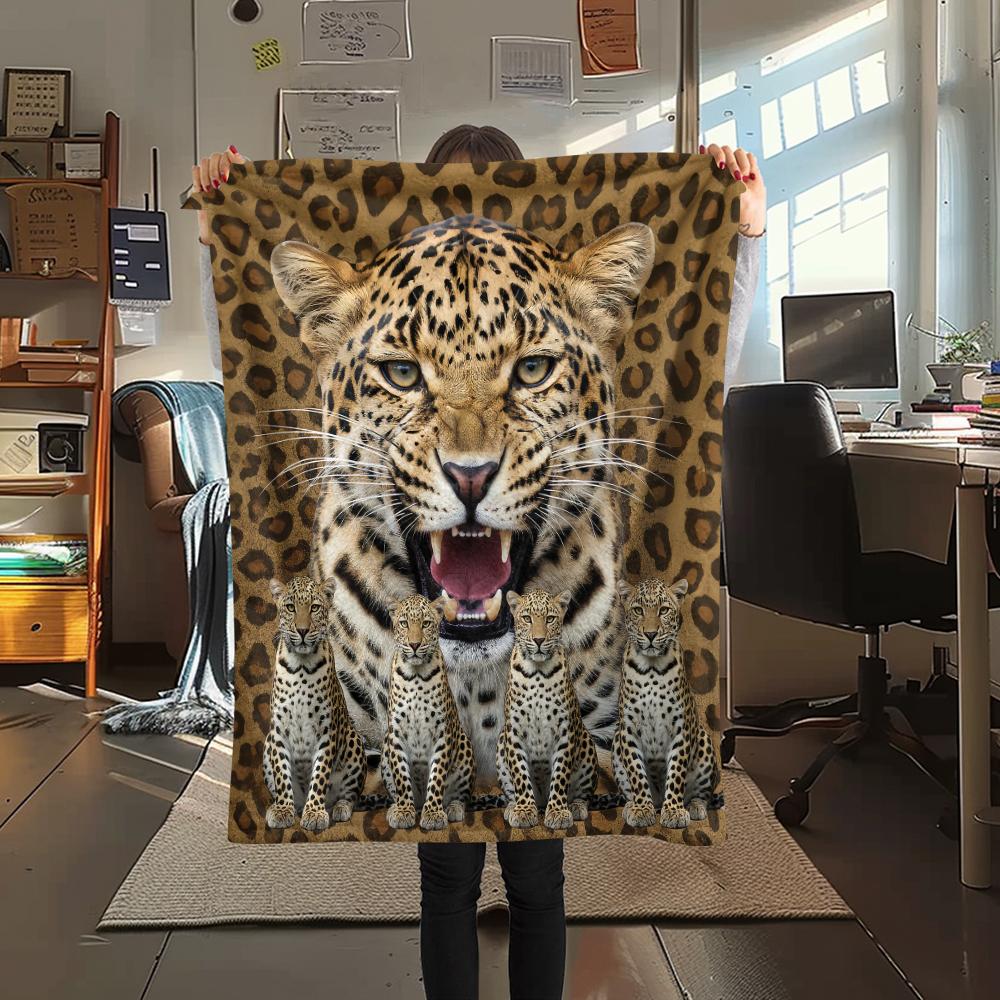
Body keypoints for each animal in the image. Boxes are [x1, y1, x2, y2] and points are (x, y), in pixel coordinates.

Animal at [263, 576, 366, 830]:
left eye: (315, 607)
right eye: (291, 607)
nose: (302, 630)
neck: (301, 666)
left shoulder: (327, 732)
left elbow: (319, 775)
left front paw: (315, 814)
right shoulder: (278, 731)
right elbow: (282, 774)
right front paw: (283, 810)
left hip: (353, 741)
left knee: (350, 796)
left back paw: (338, 808)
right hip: (267, 742)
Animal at [382, 593, 477, 830]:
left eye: (426, 623)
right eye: (404, 623)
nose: (415, 644)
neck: (416, 676)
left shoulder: (442, 734)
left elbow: (436, 778)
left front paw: (433, 814)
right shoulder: (395, 734)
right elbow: (401, 777)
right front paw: (403, 812)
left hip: (464, 746)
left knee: (461, 796)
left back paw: (453, 809)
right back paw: (397, 807)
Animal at [497, 589, 598, 829]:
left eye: (550, 619)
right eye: (527, 618)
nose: (539, 640)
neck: (538, 673)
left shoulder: (565, 731)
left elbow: (560, 775)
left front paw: (558, 812)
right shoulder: (514, 732)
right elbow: (520, 776)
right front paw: (524, 811)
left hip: (587, 743)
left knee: (583, 793)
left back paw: (575, 807)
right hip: (501, 742)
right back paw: (512, 807)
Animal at [613, 577, 723, 829]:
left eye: (663, 610)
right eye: (638, 610)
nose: (651, 634)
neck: (652, 669)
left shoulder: (681, 729)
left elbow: (676, 774)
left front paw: (673, 811)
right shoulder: (628, 730)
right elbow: (637, 773)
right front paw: (641, 809)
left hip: (703, 739)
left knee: (702, 794)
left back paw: (694, 808)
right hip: (615, 742)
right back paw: (633, 806)